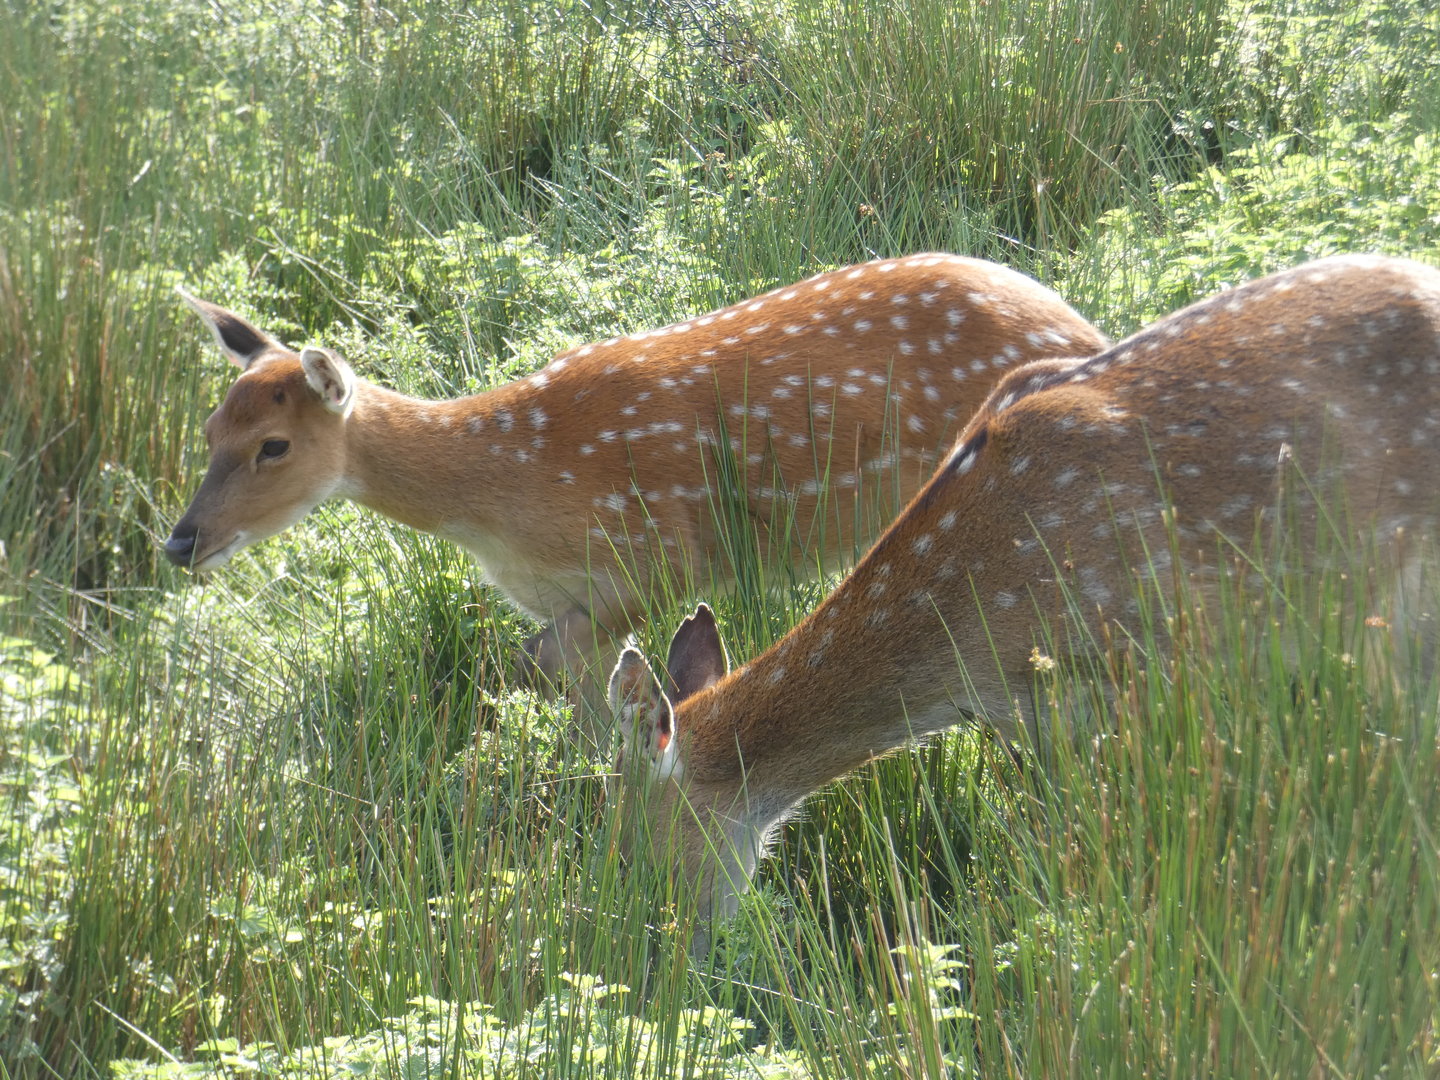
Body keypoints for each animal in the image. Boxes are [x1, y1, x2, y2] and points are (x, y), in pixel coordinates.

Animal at [163, 254, 1110, 721]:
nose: (180, 540)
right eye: (207, 431)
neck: (504, 497)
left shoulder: (656, 553)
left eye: (273, 445)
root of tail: (1084, 330)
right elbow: (556, 671)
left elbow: (556, 666)